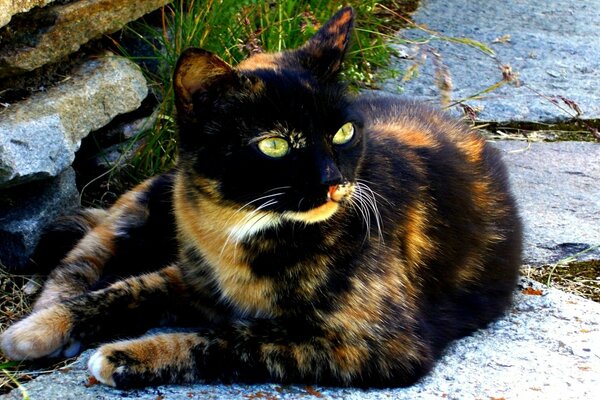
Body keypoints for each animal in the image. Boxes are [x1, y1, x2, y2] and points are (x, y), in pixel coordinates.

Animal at [1, 7, 520, 390]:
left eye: (343, 132)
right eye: (275, 145)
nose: (334, 181)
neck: (238, 231)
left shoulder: (375, 345)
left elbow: (232, 338)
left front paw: (128, 355)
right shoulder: (192, 276)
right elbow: (127, 289)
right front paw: (41, 329)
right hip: (153, 198)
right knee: (85, 254)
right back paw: (40, 315)